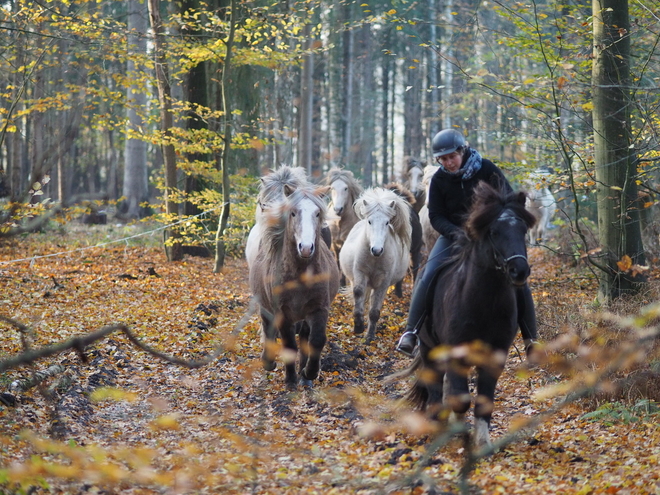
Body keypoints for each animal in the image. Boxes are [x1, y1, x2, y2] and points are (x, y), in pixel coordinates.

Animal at [249, 184, 340, 390]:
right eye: (293, 213)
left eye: (317, 213)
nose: (305, 248)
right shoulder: (283, 314)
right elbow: (289, 345)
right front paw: (290, 381)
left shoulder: (319, 309)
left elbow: (316, 340)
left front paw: (308, 373)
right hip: (266, 308)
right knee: (268, 330)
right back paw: (269, 362)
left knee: (305, 336)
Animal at [338, 189, 410, 344]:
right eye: (369, 221)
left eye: (387, 222)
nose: (376, 250)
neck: (375, 259)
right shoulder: (360, 273)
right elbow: (358, 292)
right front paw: (358, 326)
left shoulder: (383, 283)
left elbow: (374, 312)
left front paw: (369, 337)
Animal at [398, 183, 536, 450]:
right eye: (494, 231)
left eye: (523, 229)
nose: (519, 271)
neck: (485, 301)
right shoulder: (455, 352)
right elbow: (460, 400)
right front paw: (459, 433)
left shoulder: (495, 355)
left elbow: (484, 401)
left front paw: (481, 443)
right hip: (429, 349)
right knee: (435, 387)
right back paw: (437, 424)